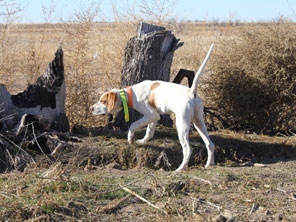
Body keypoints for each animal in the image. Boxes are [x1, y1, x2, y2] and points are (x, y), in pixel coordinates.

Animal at [91, 43, 215, 172]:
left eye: (103, 101)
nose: (91, 108)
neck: (130, 94)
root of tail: (191, 92)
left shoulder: (151, 114)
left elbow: (133, 125)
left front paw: (130, 139)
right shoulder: (154, 117)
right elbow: (149, 132)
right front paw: (142, 141)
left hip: (182, 124)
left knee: (188, 150)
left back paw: (180, 169)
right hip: (199, 122)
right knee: (210, 144)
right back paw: (209, 164)